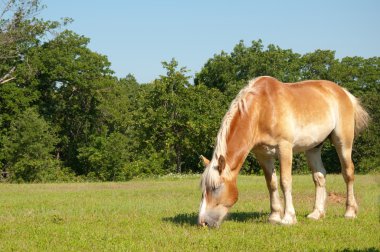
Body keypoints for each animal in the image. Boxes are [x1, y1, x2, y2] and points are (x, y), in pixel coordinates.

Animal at [199, 76, 368, 227]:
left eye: (215, 188)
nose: (202, 222)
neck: (262, 109)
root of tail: (343, 92)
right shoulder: (263, 155)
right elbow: (271, 183)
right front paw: (274, 216)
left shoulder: (285, 148)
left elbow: (285, 182)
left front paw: (288, 218)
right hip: (313, 148)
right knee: (319, 176)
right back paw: (316, 214)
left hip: (343, 142)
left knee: (348, 173)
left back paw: (350, 212)